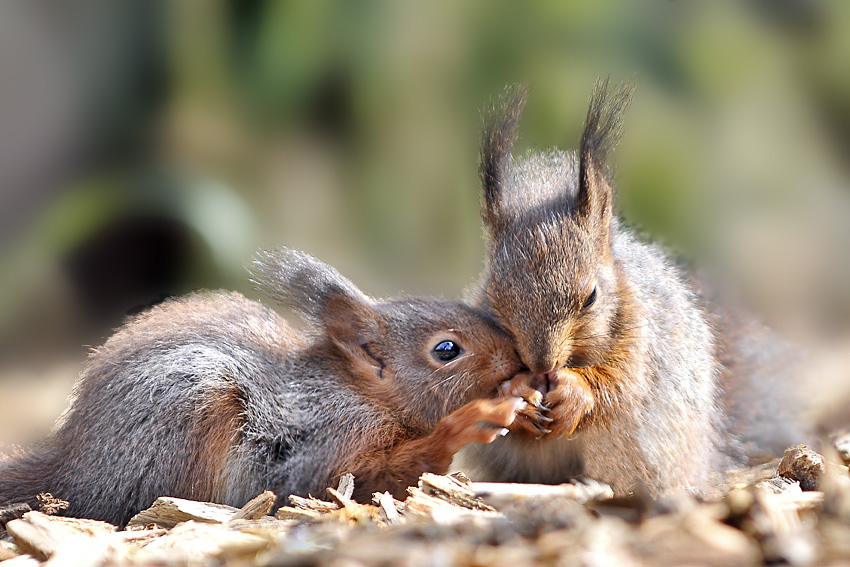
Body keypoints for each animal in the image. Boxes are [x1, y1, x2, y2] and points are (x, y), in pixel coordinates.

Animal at [0, 248, 528, 528]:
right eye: (446, 350)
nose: (517, 359)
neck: (360, 393)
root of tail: (72, 471)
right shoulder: (328, 439)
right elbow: (335, 480)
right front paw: (468, 423)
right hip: (189, 422)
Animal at [454, 81, 812, 496]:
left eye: (591, 297)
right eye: (493, 299)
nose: (542, 365)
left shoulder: (642, 343)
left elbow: (619, 386)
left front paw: (575, 392)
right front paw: (518, 393)